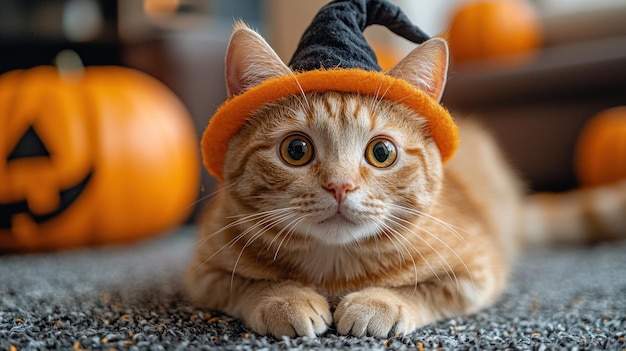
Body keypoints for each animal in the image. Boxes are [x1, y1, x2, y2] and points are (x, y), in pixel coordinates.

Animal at [185, 24, 624, 338]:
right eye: (296, 150)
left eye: (381, 153)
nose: (340, 185)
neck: (334, 266)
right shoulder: (204, 271)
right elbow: (243, 285)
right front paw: (282, 298)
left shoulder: (479, 269)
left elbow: (424, 290)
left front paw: (381, 303)